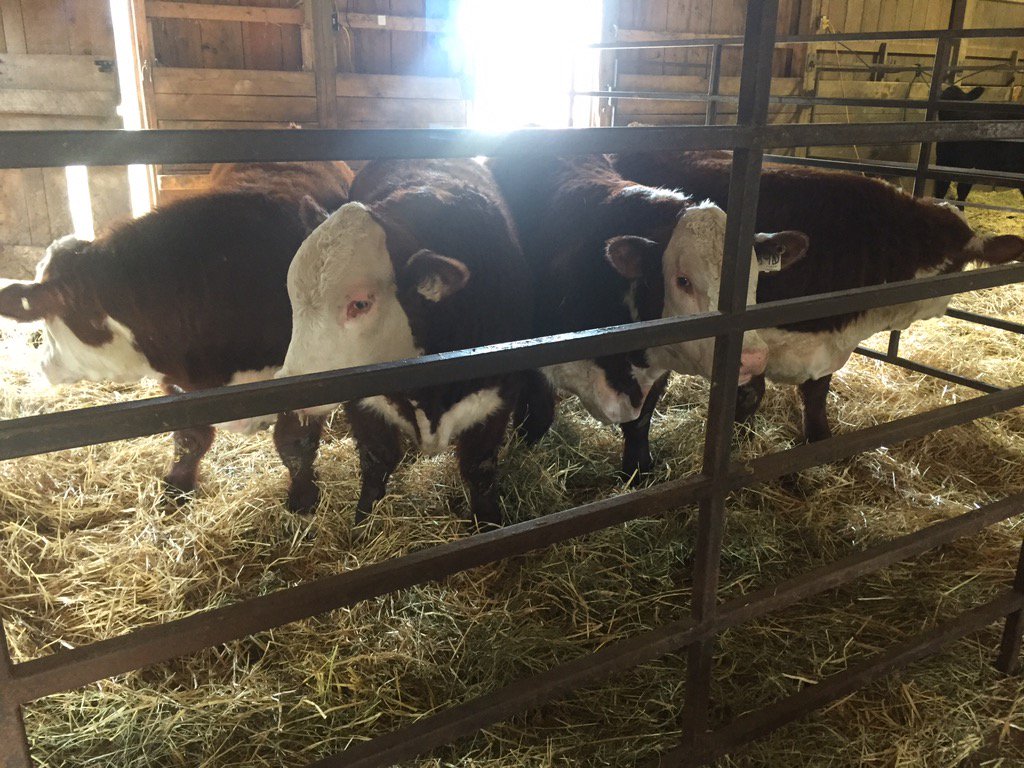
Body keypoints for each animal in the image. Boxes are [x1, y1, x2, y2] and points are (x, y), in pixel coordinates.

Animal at [0, 161, 355, 513]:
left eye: (48, 318)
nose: (42, 366)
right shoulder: (179, 381)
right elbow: (189, 439)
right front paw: (176, 489)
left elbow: (294, 444)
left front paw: (303, 497)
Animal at [276, 159, 538, 528]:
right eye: (292, 294)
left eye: (360, 304)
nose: (290, 390)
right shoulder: (362, 401)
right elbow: (377, 459)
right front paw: (364, 521)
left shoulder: (498, 396)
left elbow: (479, 466)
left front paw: (489, 523)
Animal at [487, 153, 808, 478]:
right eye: (682, 280)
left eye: (753, 276)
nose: (753, 357)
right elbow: (538, 415)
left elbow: (639, 423)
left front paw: (638, 472)